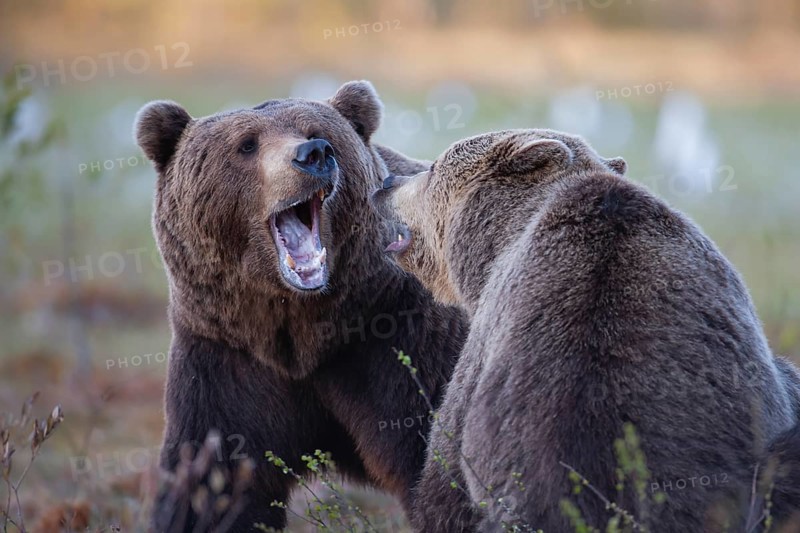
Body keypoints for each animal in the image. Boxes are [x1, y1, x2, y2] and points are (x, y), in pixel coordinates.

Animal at [134, 81, 468, 531]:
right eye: (246, 144)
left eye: (317, 131)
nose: (314, 154)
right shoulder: (225, 360)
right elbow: (212, 486)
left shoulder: (406, 342)